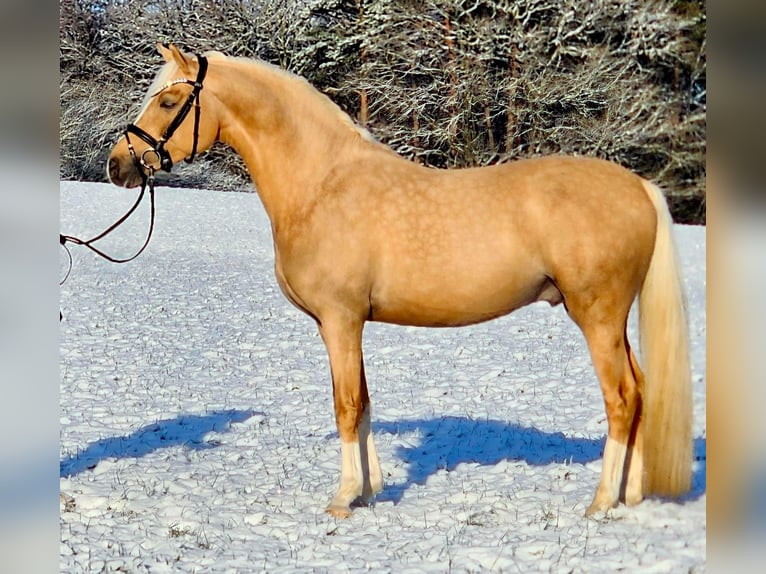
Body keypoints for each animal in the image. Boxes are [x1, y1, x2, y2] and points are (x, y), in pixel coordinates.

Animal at [107, 44, 692, 519]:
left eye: (167, 102)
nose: (118, 166)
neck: (322, 183)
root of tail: (639, 187)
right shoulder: (346, 324)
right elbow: (363, 402)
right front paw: (369, 491)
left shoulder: (340, 320)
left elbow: (346, 405)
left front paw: (343, 499)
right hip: (609, 320)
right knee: (642, 392)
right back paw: (630, 496)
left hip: (597, 315)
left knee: (621, 399)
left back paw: (600, 503)